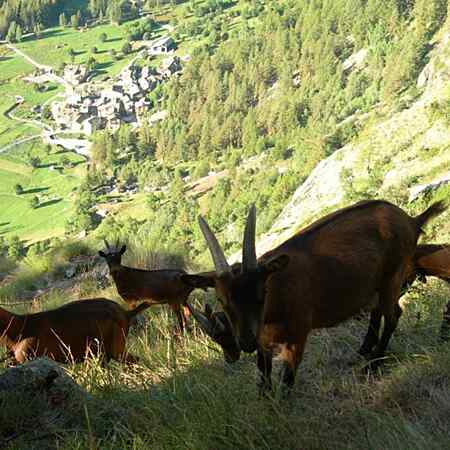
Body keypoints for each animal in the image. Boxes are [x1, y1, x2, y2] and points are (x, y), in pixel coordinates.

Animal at [181, 200, 444, 394]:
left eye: (261, 294)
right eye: (222, 300)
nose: (244, 343)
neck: (276, 303)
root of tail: (411, 220)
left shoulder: (298, 335)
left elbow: (287, 382)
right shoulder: (263, 341)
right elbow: (264, 381)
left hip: (392, 275)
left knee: (393, 315)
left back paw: (372, 366)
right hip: (376, 284)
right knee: (377, 310)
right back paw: (364, 350)